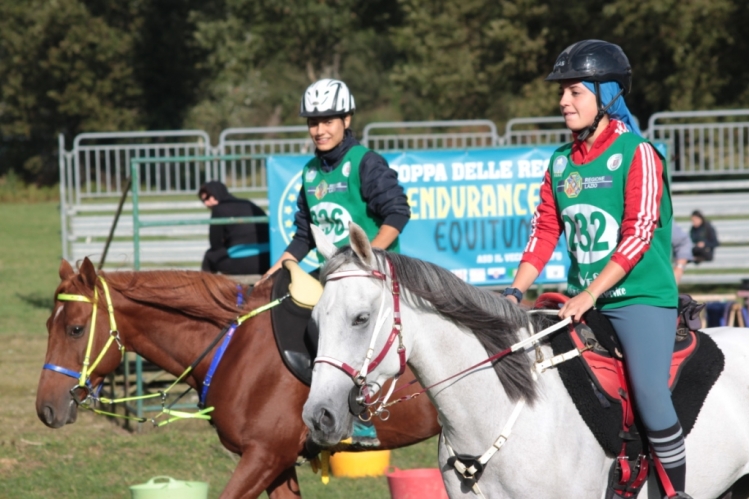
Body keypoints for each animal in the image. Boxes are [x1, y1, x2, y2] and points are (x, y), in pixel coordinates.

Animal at [38, 258, 438, 499]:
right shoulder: (277, 464)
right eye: (47, 326)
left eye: (75, 329)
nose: (46, 408)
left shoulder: (263, 457)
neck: (235, 347)